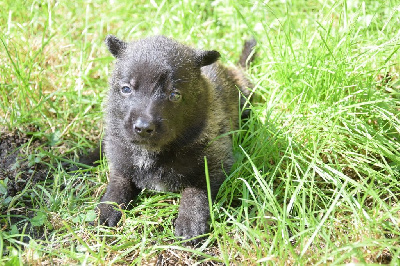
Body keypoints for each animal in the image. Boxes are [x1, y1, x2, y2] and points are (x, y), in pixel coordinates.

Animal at [98, 35, 255, 243]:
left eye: (174, 95)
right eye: (126, 89)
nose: (143, 128)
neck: (151, 152)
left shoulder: (214, 161)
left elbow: (197, 191)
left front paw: (190, 223)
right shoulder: (121, 160)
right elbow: (118, 183)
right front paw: (107, 209)